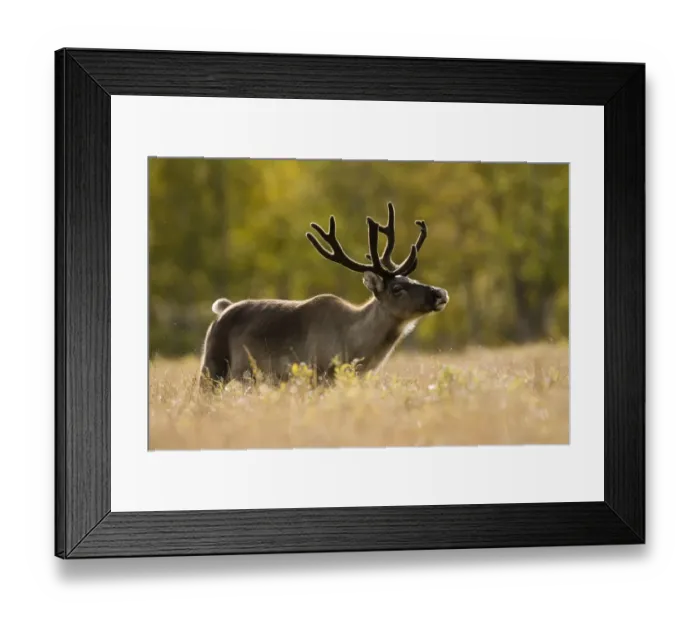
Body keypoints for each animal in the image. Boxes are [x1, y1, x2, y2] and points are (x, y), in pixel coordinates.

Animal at [196, 202, 449, 391]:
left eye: (412, 279)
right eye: (397, 288)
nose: (440, 293)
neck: (357, 348)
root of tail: (222, 310)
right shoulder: (317, 375)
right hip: (212, 366)